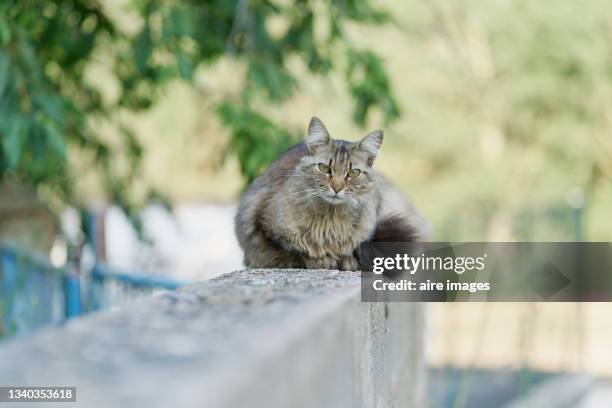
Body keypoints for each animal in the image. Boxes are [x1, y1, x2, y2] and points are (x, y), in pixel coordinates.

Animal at [234, 116, 430, 270]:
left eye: (353, 173)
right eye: (324, 168)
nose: (336, 187)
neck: (330, 220)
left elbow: (351, 251)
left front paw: (347, 261)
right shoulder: (262, 225)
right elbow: (293, 252)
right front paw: (320, 260)